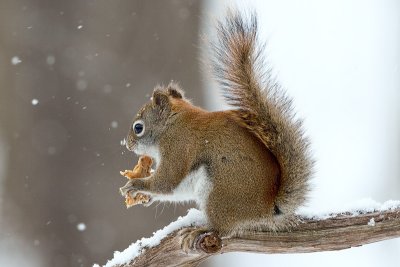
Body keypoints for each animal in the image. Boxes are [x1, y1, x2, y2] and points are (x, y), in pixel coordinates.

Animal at [120, 8, 314, 251]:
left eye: (138, 128)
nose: (127, 144)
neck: (172, 124)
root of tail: (268, 208)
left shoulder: (178, 148)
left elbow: (167, 182)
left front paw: (135, 185)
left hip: (219, 194)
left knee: (224, 229)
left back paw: (200, 230)